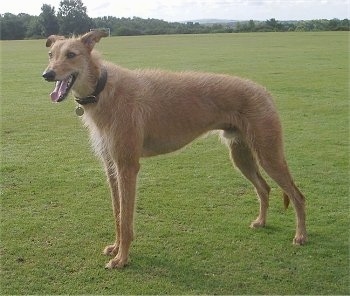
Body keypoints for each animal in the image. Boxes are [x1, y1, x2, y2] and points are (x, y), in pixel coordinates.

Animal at [43, 30, 306, 268]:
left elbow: (126, 219)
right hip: (241, 155)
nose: (47, 74)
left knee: (297, 195)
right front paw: (116, 248)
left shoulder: (127, 166)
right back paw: (261, 222)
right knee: (264, 188)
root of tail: (264, 91)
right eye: (50, 54)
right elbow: (118, 215)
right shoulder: (111, 166)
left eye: (71, 54)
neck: (103, 89)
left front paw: (122, 258)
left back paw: (301, 236)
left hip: (269, 154)